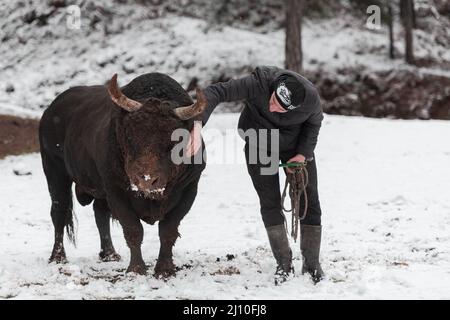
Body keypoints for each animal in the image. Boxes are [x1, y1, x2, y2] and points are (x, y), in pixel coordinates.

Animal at [39, 73, 207, 278]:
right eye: (130, 136)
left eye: (175, 140)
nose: (146, 179)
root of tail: (51, 109)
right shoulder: (116, 191)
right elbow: (133, 229)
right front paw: (136, 269)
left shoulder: (189, 190)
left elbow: (168, 230)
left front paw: (165, 270)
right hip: (55, 170)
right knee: (59, 211)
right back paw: (58, 257)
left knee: (100, 213)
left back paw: (109, 254)